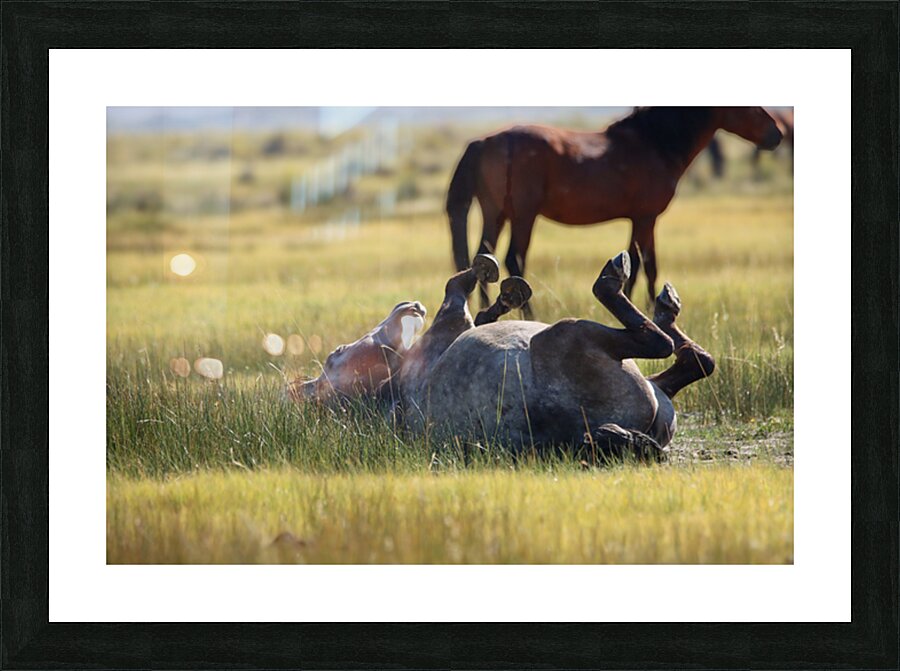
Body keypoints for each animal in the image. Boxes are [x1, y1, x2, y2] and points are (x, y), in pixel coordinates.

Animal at [446, 107, 783, 315]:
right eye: (749, 106)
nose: (777, 135)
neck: (654, 143)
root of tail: (485, 141)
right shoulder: (646, 218)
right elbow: (647, 265)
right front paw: (649, 309)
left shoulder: (639, 220)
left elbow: (635, 265)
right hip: (523, 216)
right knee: (514, 259)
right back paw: (528, 315)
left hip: (495, 213)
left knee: (484, 257)